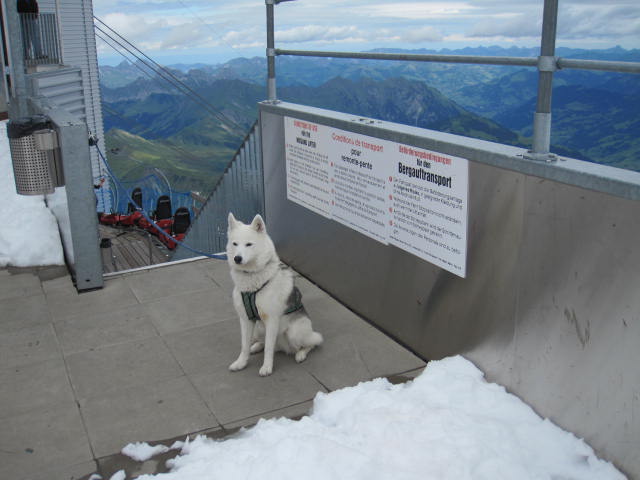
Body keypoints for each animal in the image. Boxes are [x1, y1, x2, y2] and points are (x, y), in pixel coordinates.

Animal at [226, 213, 324, 376]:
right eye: (235, 244)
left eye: (249, 244)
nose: (237, 258)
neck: (252, 279)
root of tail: (284, 347)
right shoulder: (245, 320)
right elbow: (244, 345)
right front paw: (241, 363)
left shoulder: (271, 320)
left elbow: (269, 349)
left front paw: (267, 367)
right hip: (259, 329)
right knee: (265, 343)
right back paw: (256, 347)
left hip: (294, 332)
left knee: (313, 342)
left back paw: (301, 354)